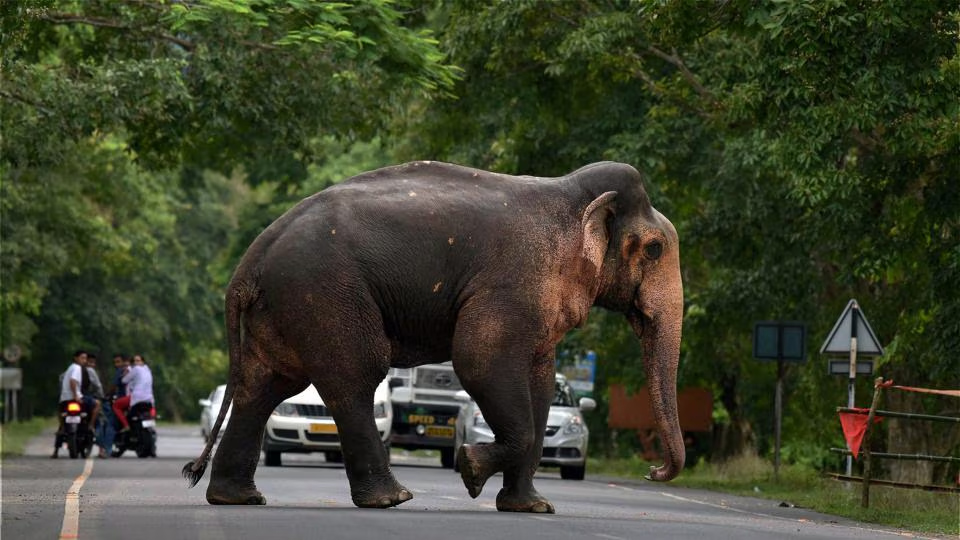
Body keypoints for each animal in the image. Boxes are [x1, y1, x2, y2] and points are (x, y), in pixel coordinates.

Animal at [183, 160, 684, 514]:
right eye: (655, 248)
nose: (652, 469)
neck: (569, 195)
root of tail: (252, 257)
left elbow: (541, 386)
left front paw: (533, 508)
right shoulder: (511, 283)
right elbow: (478, 361)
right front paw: (469, 468)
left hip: (284, 304)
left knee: (265, 385)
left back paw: (237, 498)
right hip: (323, 292)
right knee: (354, 378)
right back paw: (391, 498)